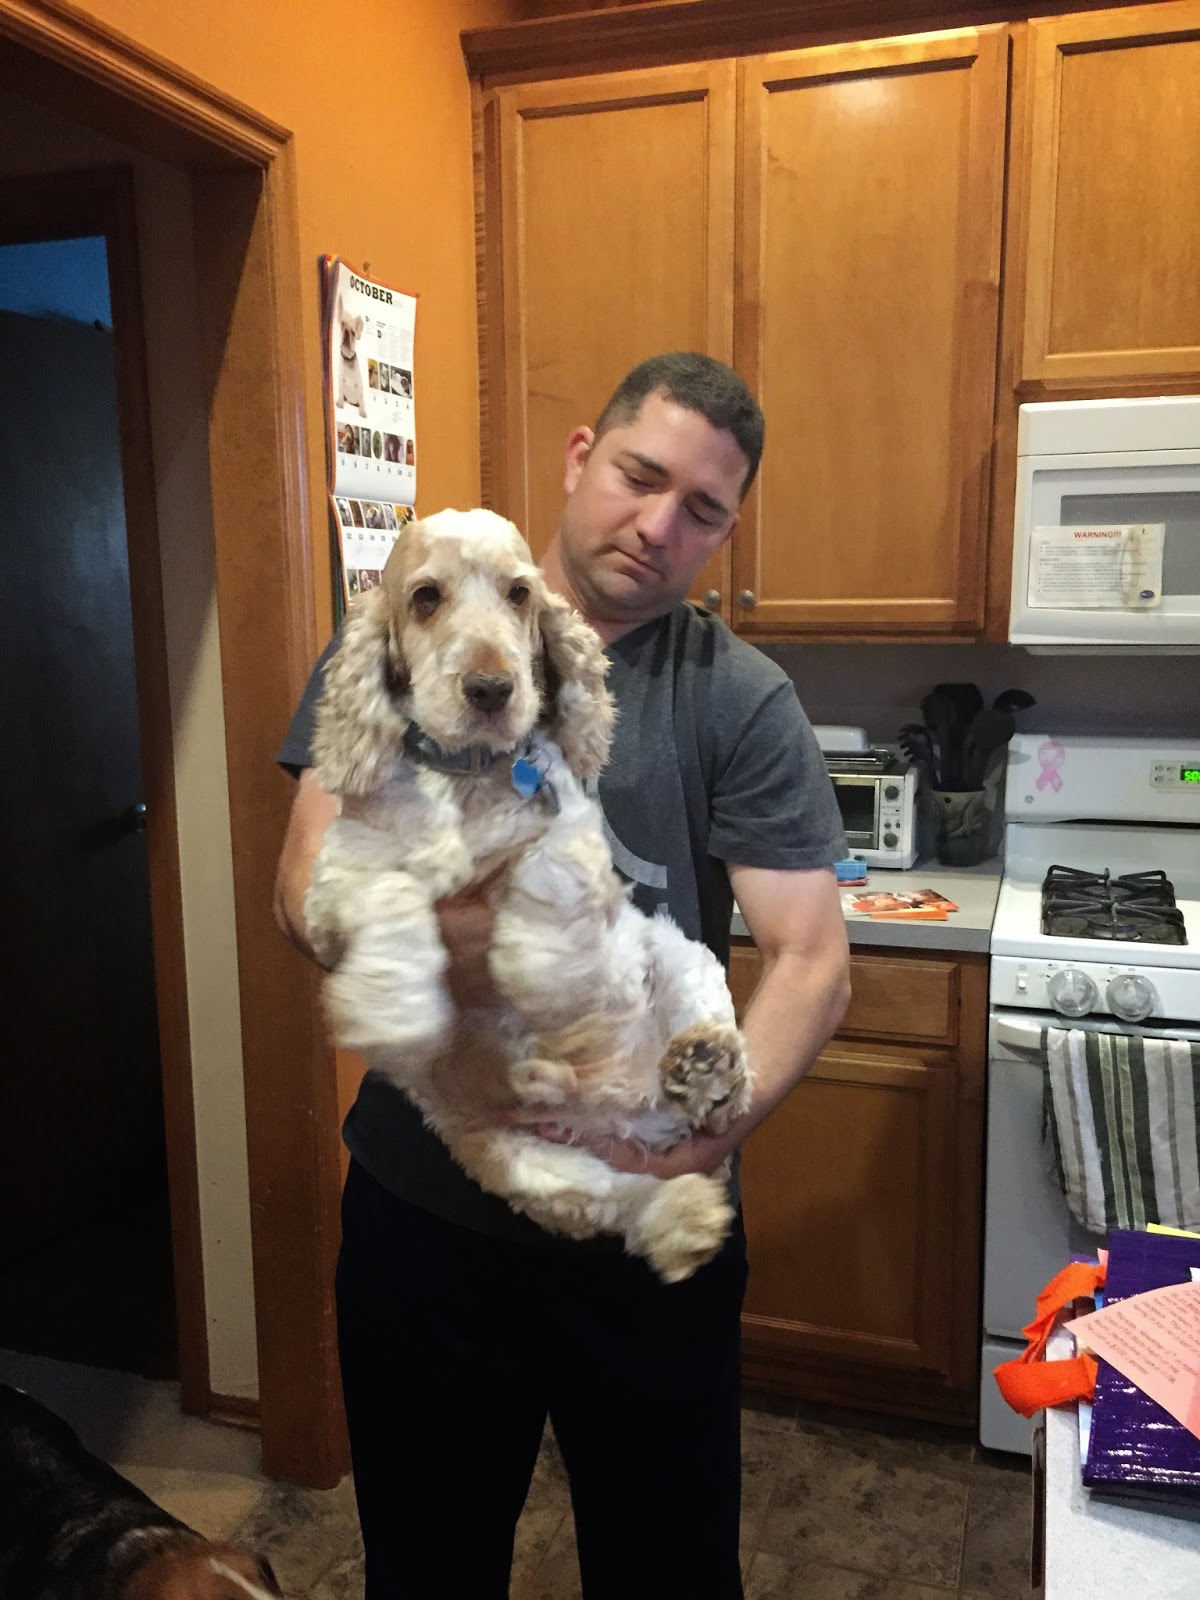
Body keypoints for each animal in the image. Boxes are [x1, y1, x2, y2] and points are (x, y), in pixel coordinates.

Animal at [305, 507, 752, 1283]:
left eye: (519, 594)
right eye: (426, 597)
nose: (491, 688)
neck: (464, 777)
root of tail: (631, 1103)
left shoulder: (572, 827)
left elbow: (544, 866)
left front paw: (546, 976)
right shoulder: (335, 878)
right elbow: (390, 892)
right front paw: (392, 1011)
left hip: (678, 953)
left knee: (721, 1099)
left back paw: (703, 1068)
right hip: (519, 1160)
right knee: (622, 1202)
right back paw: (670, 1201)